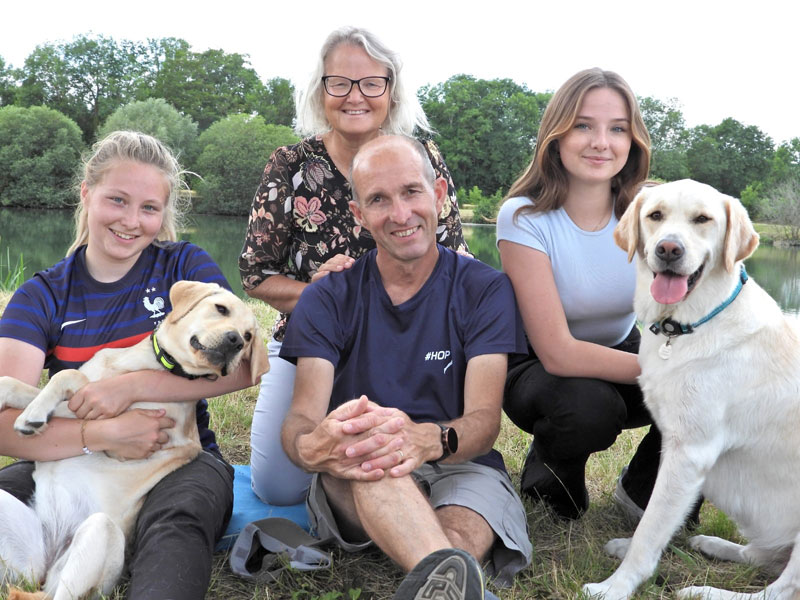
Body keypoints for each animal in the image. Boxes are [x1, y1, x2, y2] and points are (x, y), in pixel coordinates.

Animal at [0, 282, 268, 600]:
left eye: (249, 337)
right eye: (221, 309)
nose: (236, 341)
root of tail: (46, 567)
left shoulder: (109, 414)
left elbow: (70, 376)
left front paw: (33, 415)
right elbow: (15, 382)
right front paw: (25, 407)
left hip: (100, 531)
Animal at [584, 179, 800, 600]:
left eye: (702, 219)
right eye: (655, 215)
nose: (669, 249)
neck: (684, 326)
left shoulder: (688, 452)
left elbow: (651, 528)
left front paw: (614, 586)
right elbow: (651, 526)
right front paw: (625, 551)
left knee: (782, 588)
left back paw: (703, 591)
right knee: (762, 557)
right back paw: (713, 545)